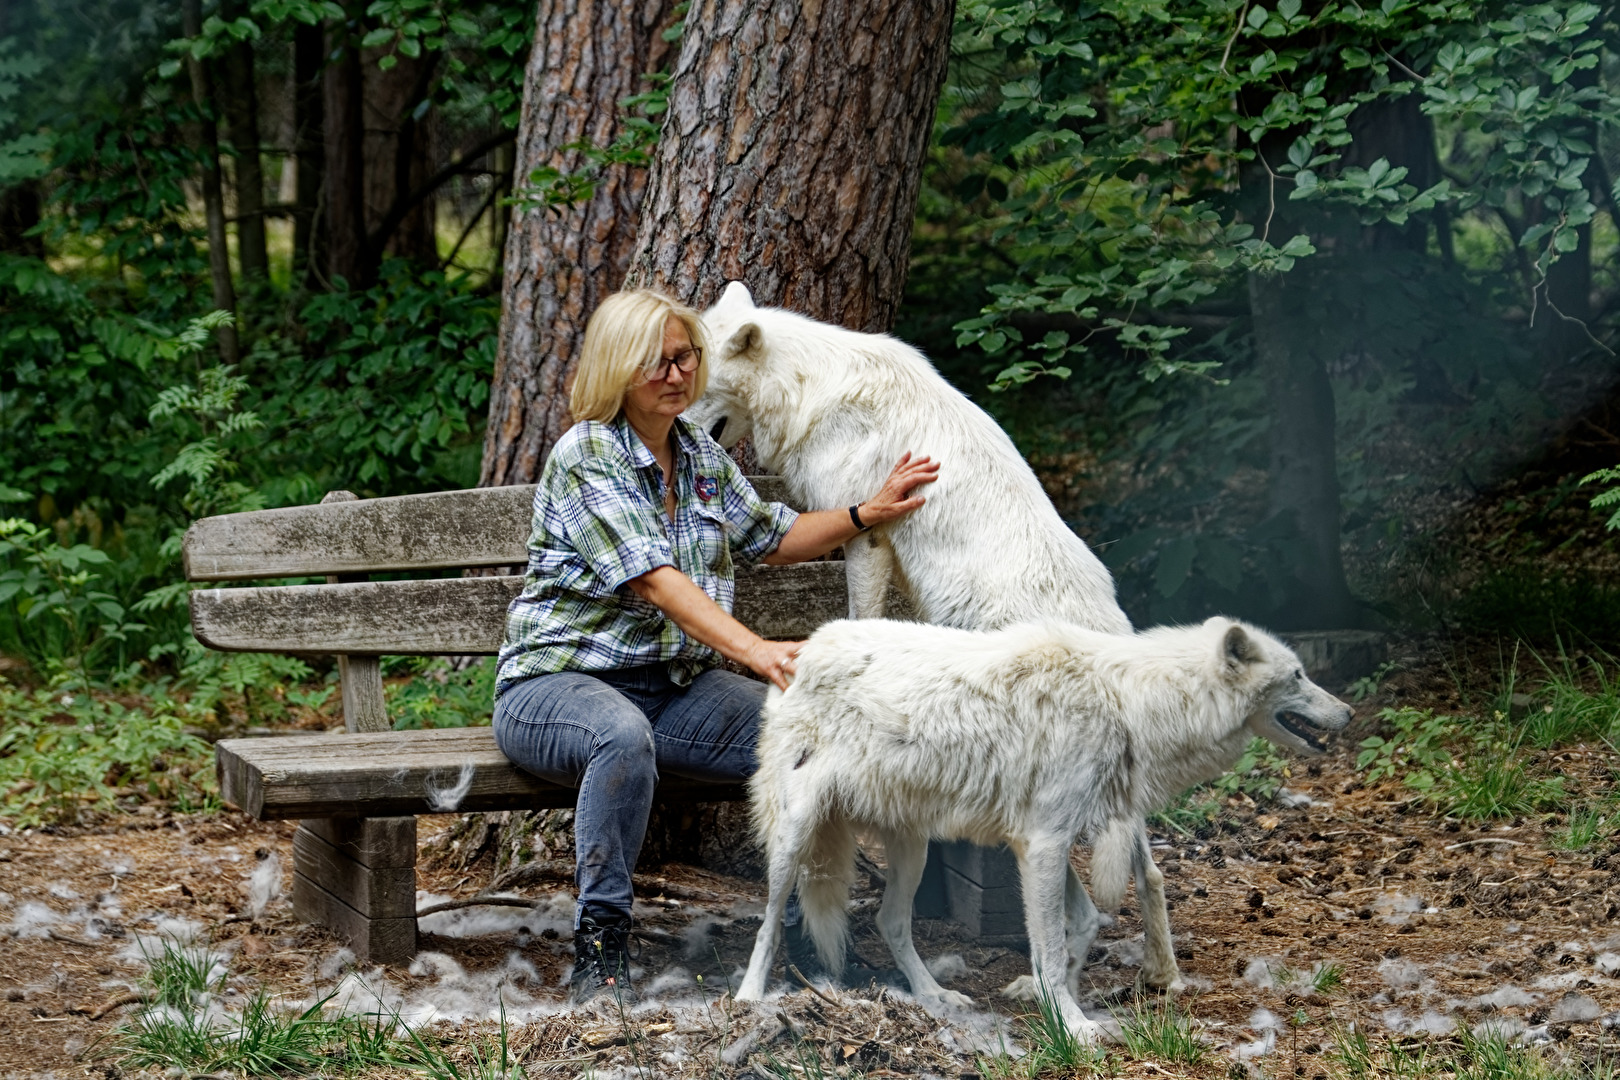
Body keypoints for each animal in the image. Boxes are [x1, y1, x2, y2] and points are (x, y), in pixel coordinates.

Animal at [738, 615, 1354, 1036]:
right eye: (1299, 675)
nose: (1349, 713)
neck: (1128, 704)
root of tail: (803, 648)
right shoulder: (1045, 845)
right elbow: (1055, 945)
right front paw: (1074, 1027)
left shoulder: (1041, 842)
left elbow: (1081, 926)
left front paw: (1044, 996)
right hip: (794, 838)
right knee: (769, 923)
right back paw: (747, 998)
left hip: (912, 850)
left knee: (891, 922)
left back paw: (936, 997)